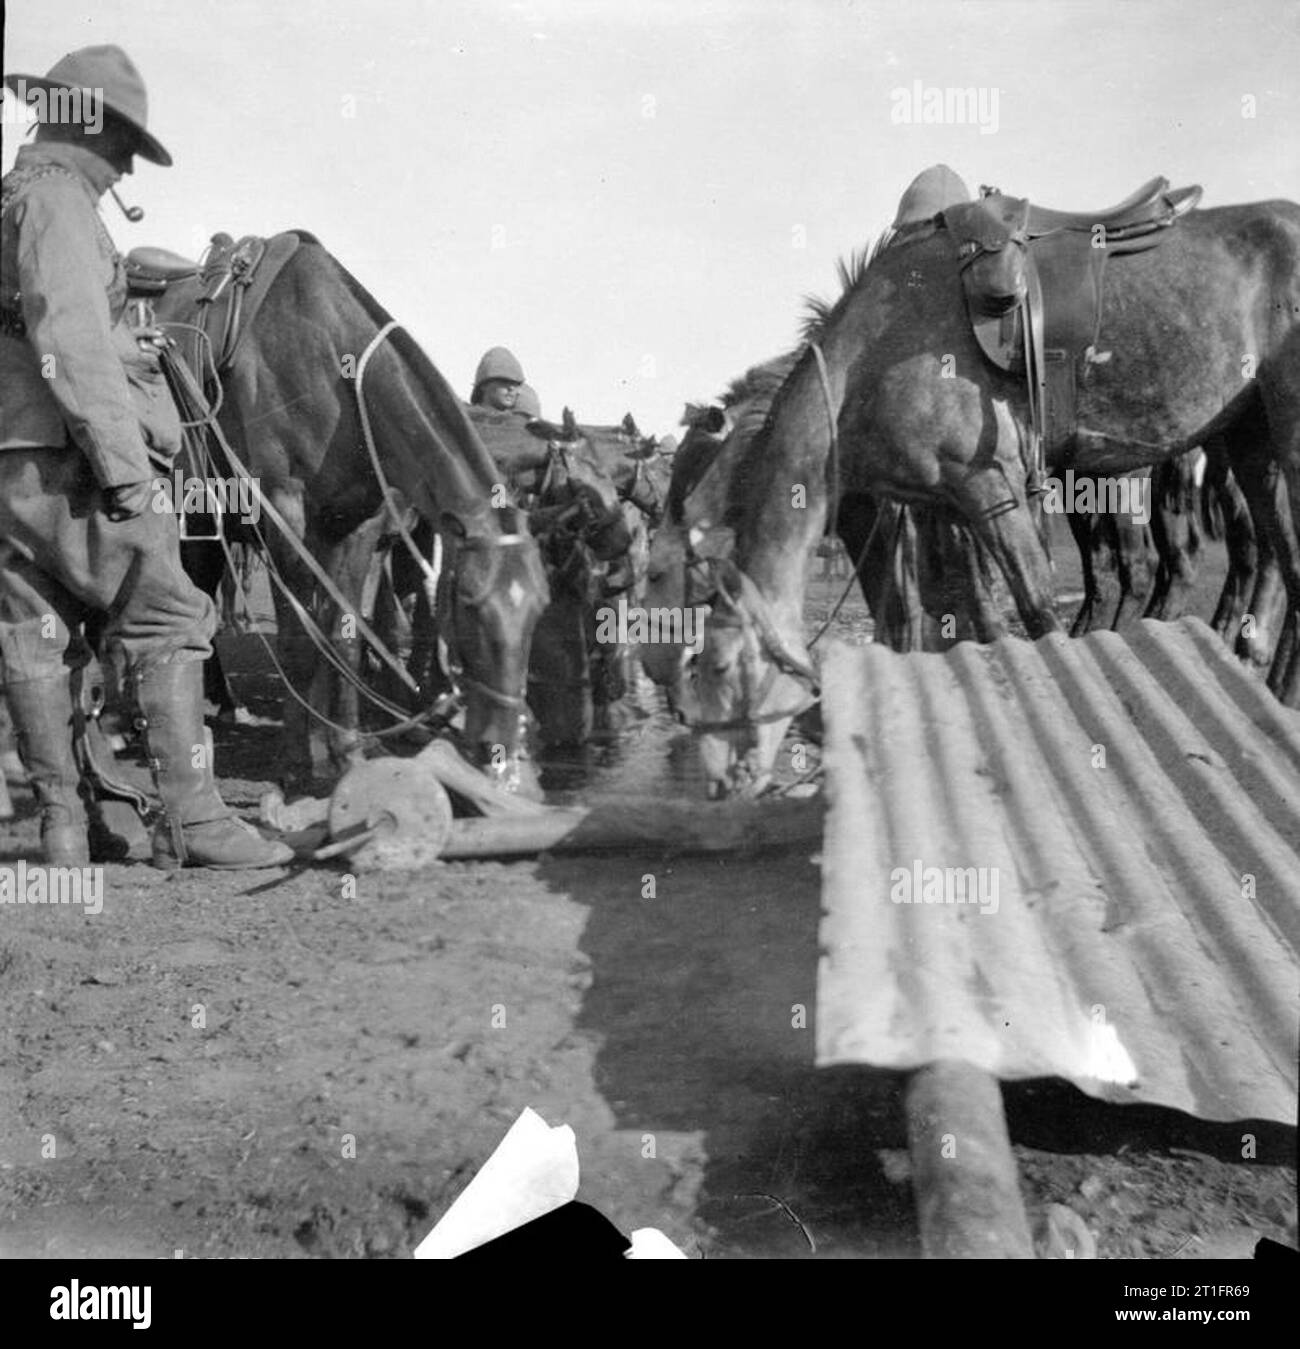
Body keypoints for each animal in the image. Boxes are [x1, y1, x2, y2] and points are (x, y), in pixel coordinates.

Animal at [151, 232, 547, 787]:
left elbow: (344, 639)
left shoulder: (358, 527)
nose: (502, 751)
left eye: (538, 607)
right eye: (470, 606)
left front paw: (345, 750)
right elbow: (299, 643)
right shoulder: (282, 517)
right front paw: (297, 761)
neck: (331, 369)